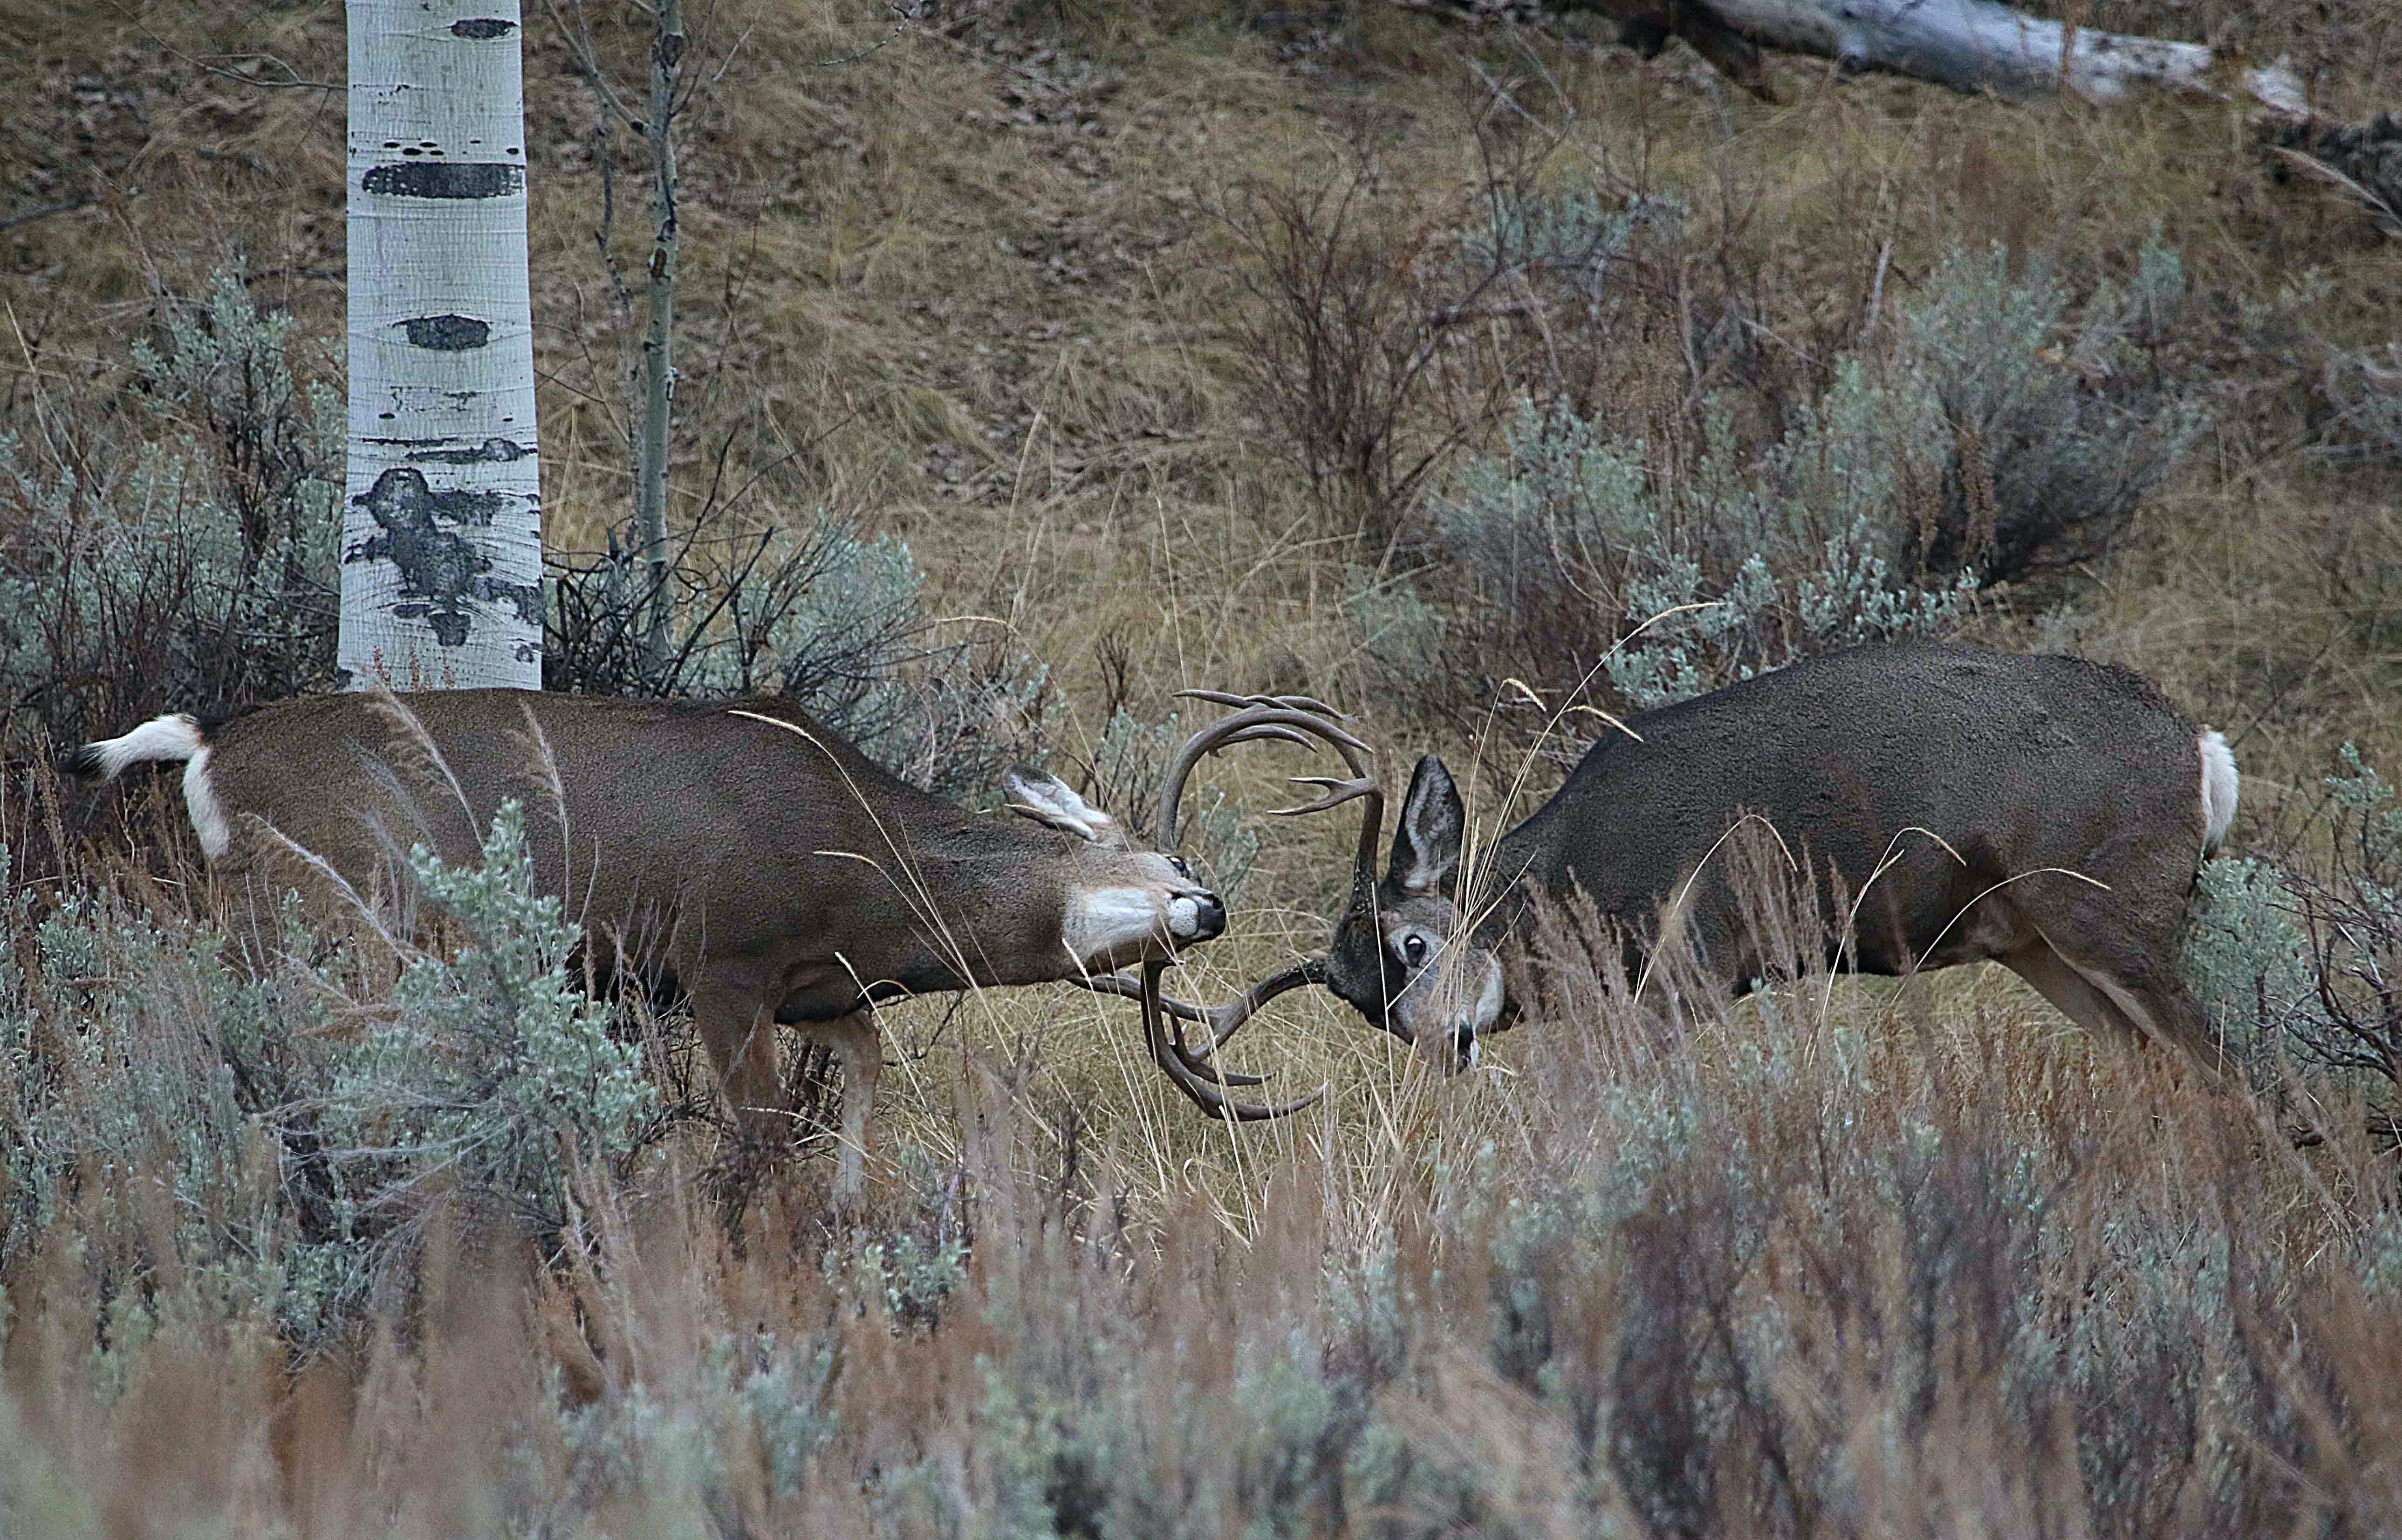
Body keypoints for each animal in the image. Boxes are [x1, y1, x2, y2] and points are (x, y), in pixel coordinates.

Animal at [67, 687, 1355, 1200]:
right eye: (1164, 861)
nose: (1211, 908)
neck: (864, 862)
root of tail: (206, 746)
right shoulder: (718, 960)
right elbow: (763, 1132)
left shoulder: (818, 987)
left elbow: (865, 1070)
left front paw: (850, 1206)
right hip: (342, 906)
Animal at [1140, 645, 2243, 1083]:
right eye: (1365, 1006)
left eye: (1414, 941)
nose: (1444, 1042)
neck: (1588, 874)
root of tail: (2202, 749)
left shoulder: (1694, 965)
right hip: (2039, 944)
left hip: (2103, 907)